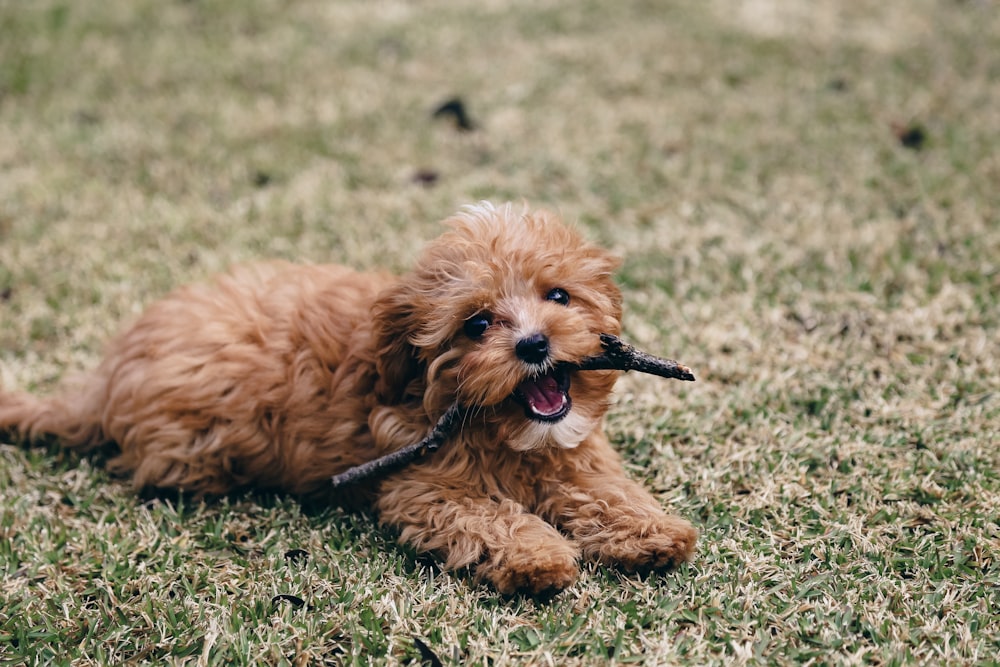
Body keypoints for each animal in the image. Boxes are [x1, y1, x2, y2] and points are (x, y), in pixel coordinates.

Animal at [0, 202, 696, 596]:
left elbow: (604, 486)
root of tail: (106, 375)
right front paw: (539, 556)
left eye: (558, 296)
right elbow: (490, 517)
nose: (533, 345)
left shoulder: (575, 453)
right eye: (477, 324)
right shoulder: (421, 488)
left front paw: (651, 529)